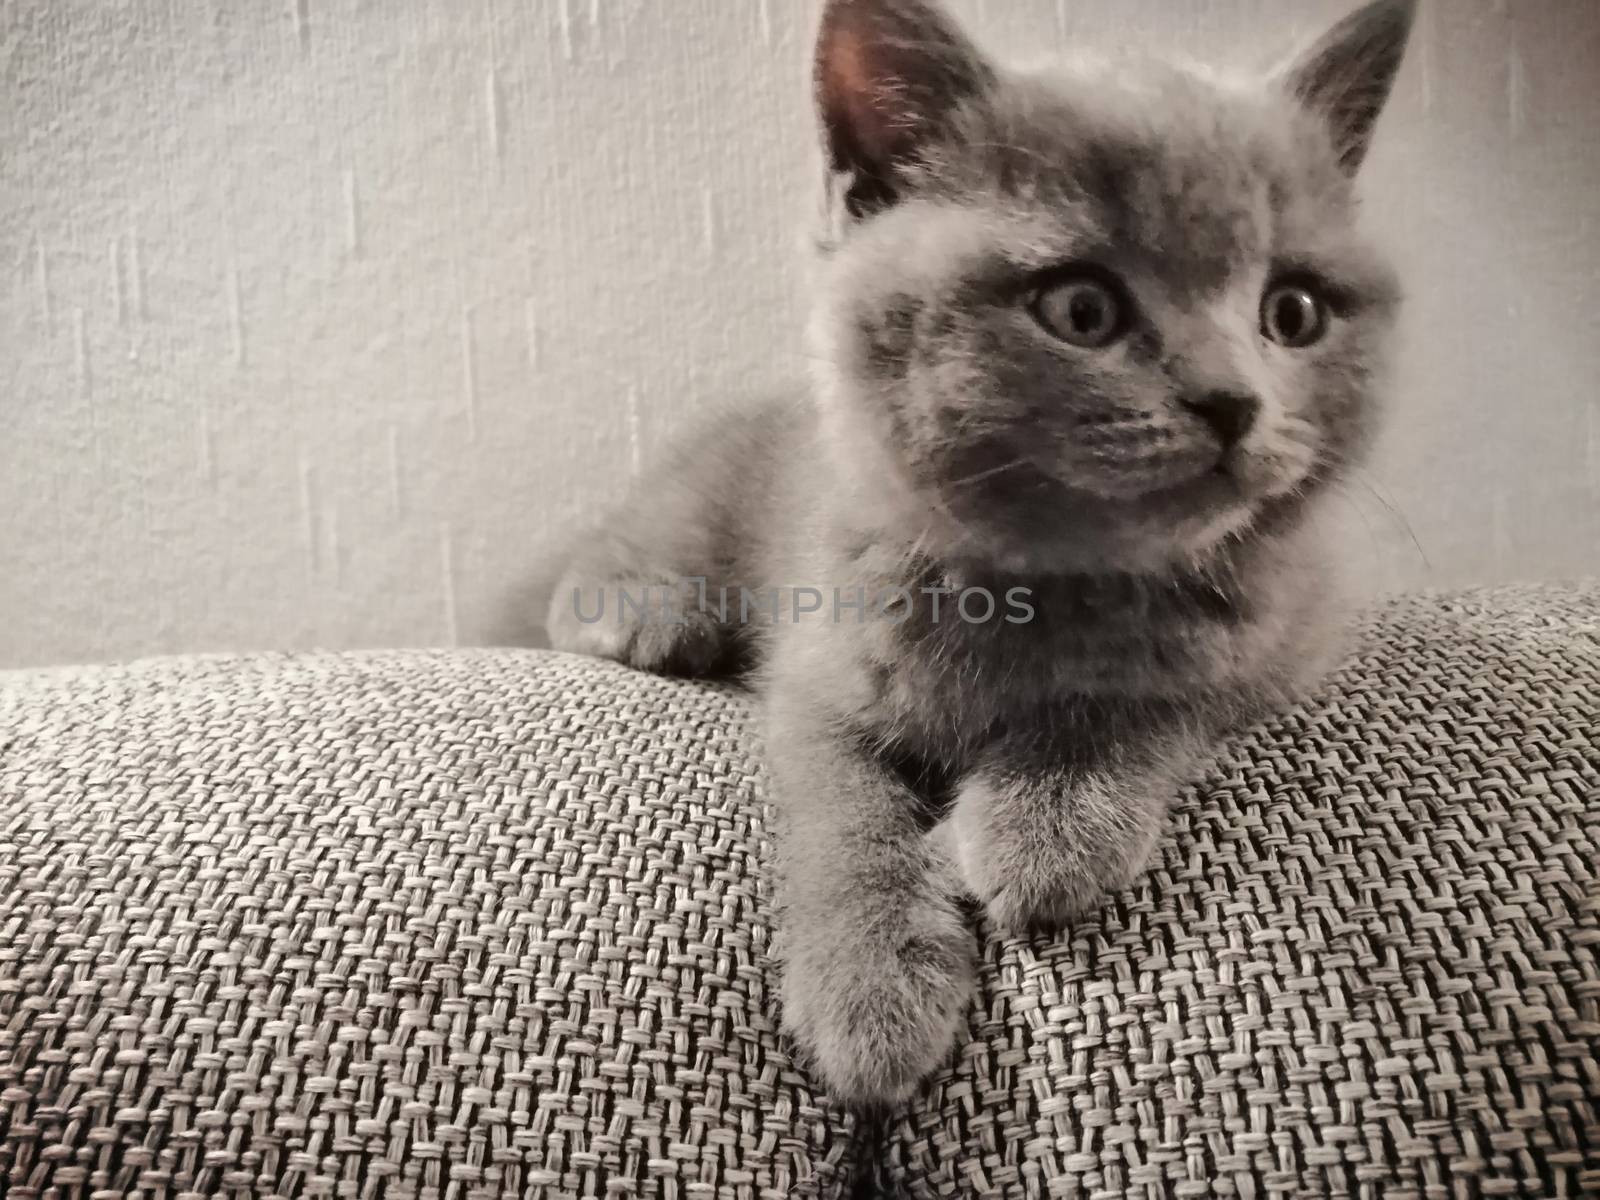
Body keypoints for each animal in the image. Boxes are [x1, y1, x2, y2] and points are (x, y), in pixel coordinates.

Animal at [547, 0, 1414, 1107]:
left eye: (1293, 311)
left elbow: (1161, 695)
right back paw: (640, 609)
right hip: (688, 506)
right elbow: (841, 812)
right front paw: (869, 979)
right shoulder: (822, 671)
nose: (1233, 402)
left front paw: (1051, 820)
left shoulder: (1288, 633)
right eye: (1081, 308)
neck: (1049, 586)